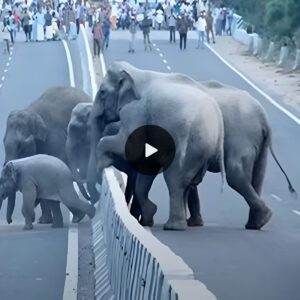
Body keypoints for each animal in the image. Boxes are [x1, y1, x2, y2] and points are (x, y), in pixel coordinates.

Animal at [2, 86, 91, 225]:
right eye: (3, 141)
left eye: (21, 146)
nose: (10, 221)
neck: (30, 111)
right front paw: (43, 221)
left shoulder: (55, 138)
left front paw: (77, 217)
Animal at [94, 60, 225, 230]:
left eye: (102, 92)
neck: (135, 72)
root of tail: (218, 120)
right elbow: (146, 164)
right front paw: (148, 218)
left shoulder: (136, 111)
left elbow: (129, 146)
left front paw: (104, 162)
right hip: (202, 151)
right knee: (188, 184)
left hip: (190, 147)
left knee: (175, 180)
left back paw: (173, 227)